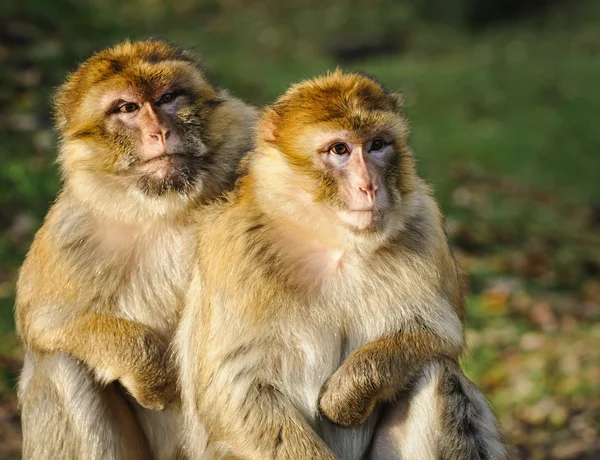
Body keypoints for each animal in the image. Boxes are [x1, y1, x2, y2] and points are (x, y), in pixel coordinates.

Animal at [14, 40, 258, 460]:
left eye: (168, 98)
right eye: (126, 108)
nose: (160, 130)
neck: (167, 208)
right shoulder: (74, 223)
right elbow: (40, 318)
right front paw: (149, 371)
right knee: (60, 362)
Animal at [175, 70, 506, 458]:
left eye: (377, 144)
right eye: (339, 149)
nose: (370, 186)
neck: (333, 240)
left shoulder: (423, 223)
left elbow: (437, 334)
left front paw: (344, 398)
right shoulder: (234, 247)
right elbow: (237, 388)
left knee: (439, 371)